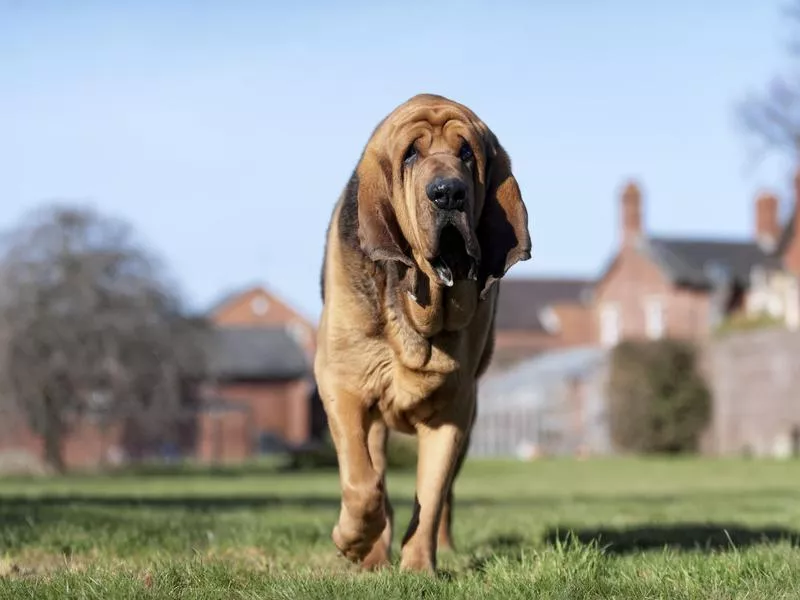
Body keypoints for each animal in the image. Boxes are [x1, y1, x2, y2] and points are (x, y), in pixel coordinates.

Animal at [314, 92, 532, 572]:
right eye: (411, 154)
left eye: (467, 154)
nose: (448, 192)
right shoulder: (343, 384)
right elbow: (363, 483)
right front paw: (353, 541)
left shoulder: (453, 410)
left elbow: (430, 495)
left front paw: (419, 569)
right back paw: (372, 554)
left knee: (445, 495)